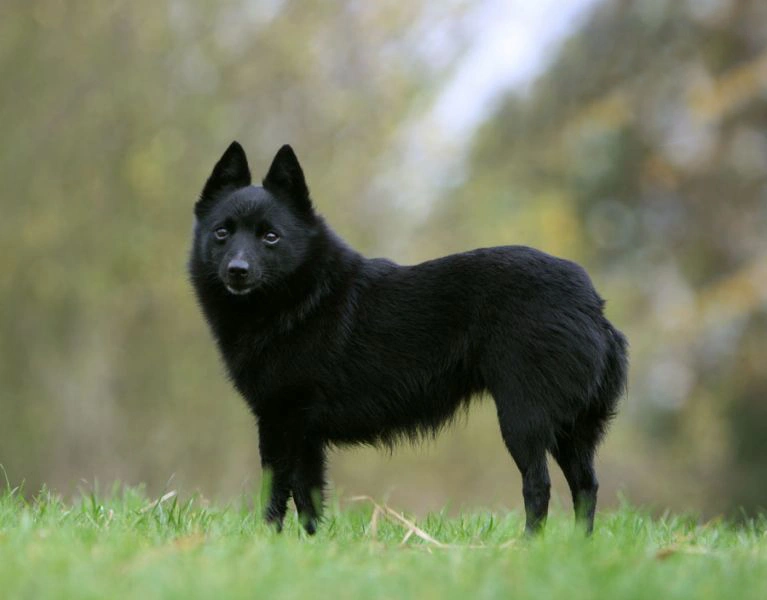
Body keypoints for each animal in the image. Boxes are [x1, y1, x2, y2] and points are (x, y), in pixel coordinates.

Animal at [189, 142, 628, 536]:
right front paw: (308, 547)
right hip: (572, 428)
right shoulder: (305, 434)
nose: (237, 270)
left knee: (539, 486)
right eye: (222, 232)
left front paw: (266, 543)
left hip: (524, 419)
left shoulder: (280, 421)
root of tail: (593, 304)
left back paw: (528, 547)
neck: (303, 298)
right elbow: (306, 496)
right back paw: (577, 547)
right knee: (586, 486)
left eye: (271, 237)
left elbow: (275, 493)